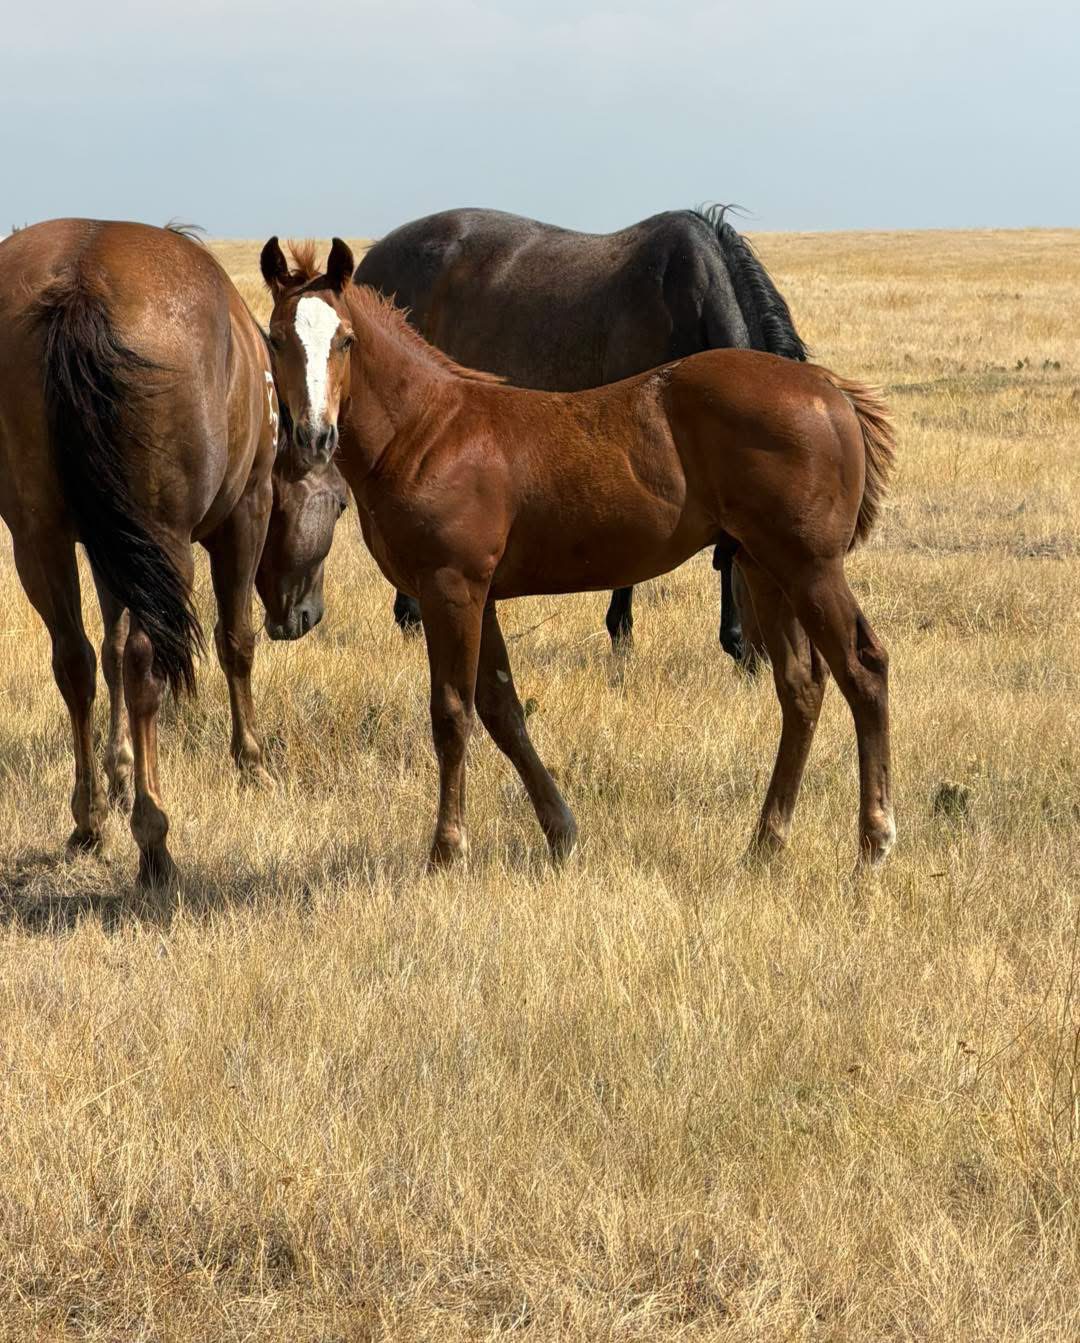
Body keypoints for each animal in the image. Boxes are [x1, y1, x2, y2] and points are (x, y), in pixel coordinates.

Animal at [0, 219, 345, 886]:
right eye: (341, 505)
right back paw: (153, 836)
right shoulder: (244, 516)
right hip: (167, 539)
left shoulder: (110, 547)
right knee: (144, 662)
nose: (307, 617)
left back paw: (89, 820)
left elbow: (108, 649)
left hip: (39, 537)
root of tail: (81, 280)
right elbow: (235, 641)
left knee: (75, 660)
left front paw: (117, 772)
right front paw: (251, 764)